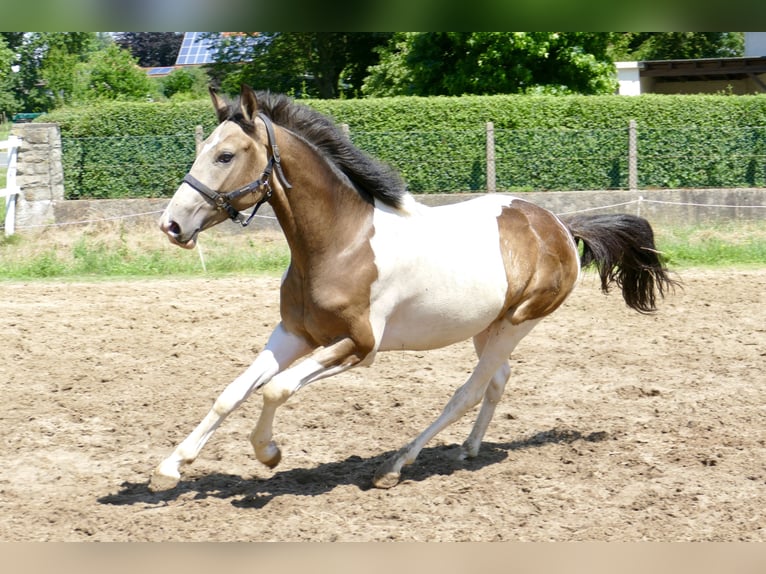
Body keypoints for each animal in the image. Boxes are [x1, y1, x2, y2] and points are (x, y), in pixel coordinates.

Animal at [150, 85, 677, 492]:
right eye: (202, 149)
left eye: (225, 155)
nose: (172, 225)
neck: (341, 243)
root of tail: (560, 226)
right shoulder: (295, 333)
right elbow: (233, 392)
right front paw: (168, 469)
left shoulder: (360, 345)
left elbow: (276, 388)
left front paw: (269, 453)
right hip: (486, 326)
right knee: (497, 380)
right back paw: (468, 450)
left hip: (517, 322)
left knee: (469, 390)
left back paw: (395, 466)